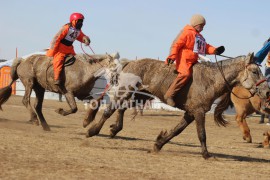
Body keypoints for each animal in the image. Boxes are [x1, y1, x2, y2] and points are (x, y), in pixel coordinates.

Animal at [84, 52, 270, 159]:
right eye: (255, 71)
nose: (267, 92)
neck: (210, 80)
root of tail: (130, 62)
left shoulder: (190, 113)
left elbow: (176, 131)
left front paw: (158, 144)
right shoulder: (199, 112)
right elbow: (202, 134)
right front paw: (206, 154)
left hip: (138, 95)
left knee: (121, 108)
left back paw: (114, 129)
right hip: (125, 91)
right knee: (110, 109)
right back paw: (92, 130)